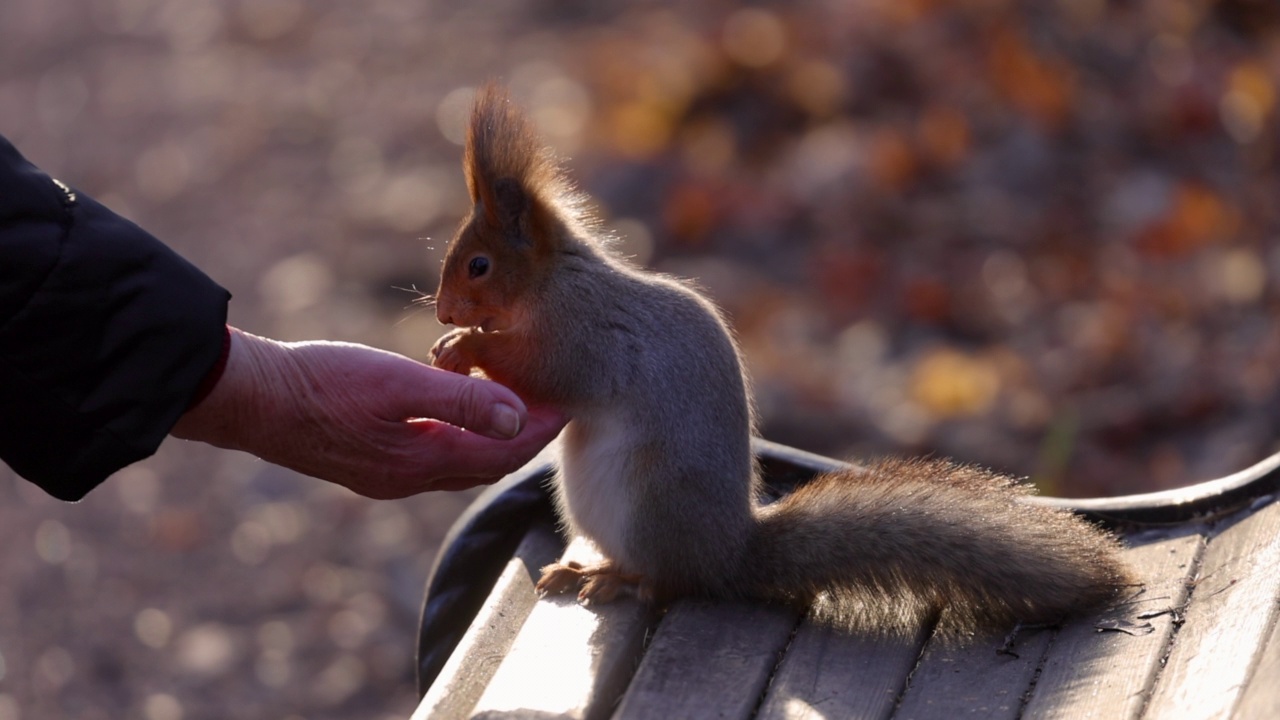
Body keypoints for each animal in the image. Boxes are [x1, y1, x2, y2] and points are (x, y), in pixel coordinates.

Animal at [430, 83, 1131, 630]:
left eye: (478, 265)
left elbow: (544, 372)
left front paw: (466, 347)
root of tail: (729, 552)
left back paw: (617, 581)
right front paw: (448, 346)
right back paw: (583, 567)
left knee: (667, 582)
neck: (553, 281)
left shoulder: (585, 335)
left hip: (649, 506)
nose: (440, 314)